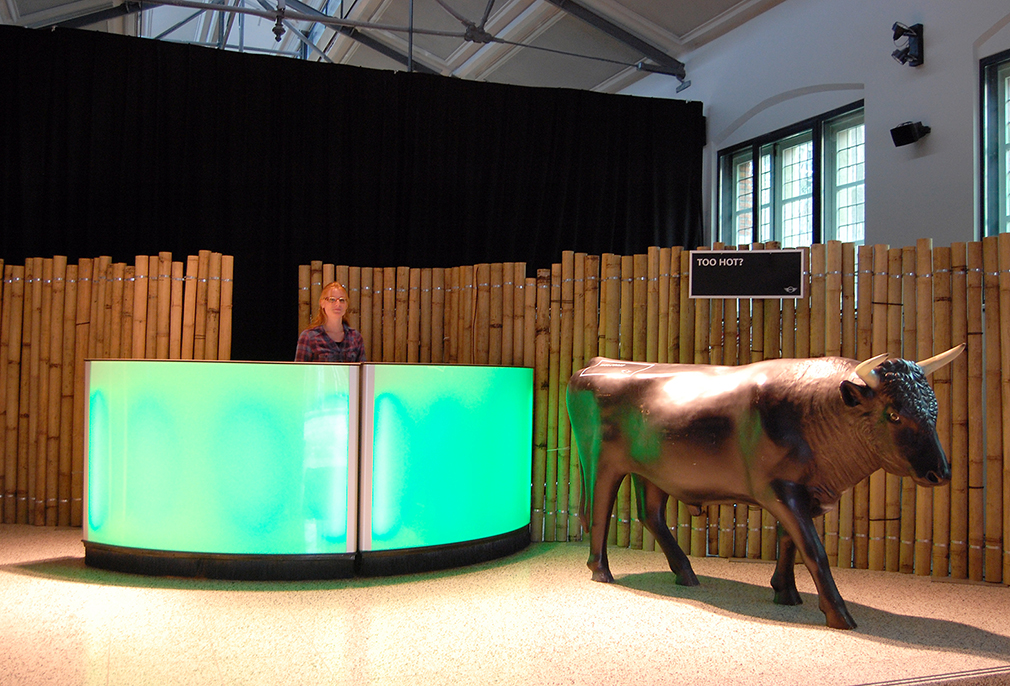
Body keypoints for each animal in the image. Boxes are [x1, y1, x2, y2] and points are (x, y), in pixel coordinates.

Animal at [566, 344, 964, 629]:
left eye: (934, 409)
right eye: (894, 414)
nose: (941, 472)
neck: (815, 411)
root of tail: (597, 364)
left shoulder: (803, 493)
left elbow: (789, 543)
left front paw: (785, 592)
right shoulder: (780, 490)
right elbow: (814, 550)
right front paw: (838, 614)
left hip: (653, 472)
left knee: (652, 516)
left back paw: (686, 573)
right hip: (601, 462)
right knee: (599, 511)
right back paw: (601, 570)